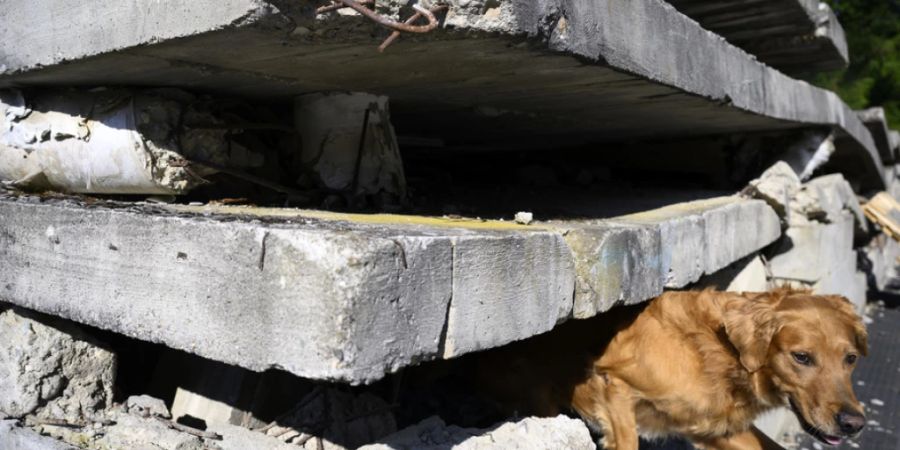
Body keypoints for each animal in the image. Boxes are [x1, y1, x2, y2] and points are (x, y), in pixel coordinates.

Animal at [474, 288, 868, 450]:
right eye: (801, 357)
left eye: (850, 359)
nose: (854, 424)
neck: (720, 353)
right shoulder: (613, 381)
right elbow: (628, 440)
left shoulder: (711, 429)